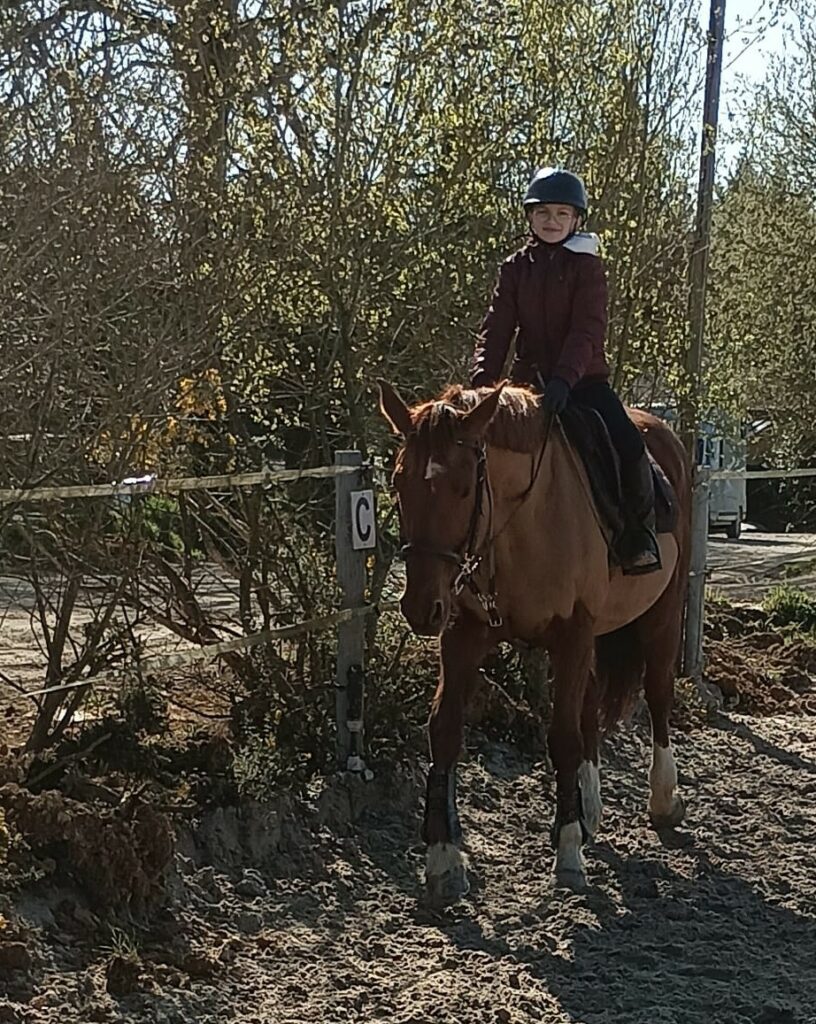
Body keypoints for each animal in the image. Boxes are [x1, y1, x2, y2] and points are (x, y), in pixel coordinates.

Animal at [377, 379, 692, 903]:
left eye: (464, 488)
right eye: (399, 484)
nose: (421, 607)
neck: (524, 524)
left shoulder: (573, 635)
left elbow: (562, 737)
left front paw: (567, 852)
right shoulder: (463, 636)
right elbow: (445, 731)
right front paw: (443, 859)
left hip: (662, 614)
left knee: (659, 694)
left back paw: (663, 798)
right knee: (590, 704)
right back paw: (589, 809)